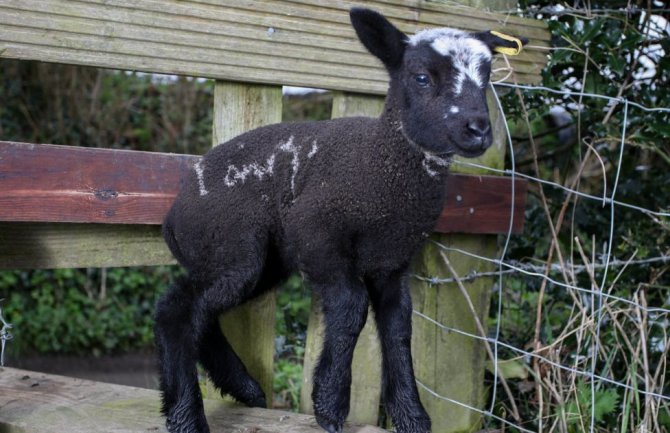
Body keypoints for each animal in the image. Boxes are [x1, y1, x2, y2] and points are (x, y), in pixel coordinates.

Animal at [155, 5, 528, 432]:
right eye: (421, 77)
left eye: (486, 77)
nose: (478, 129)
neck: (380, 167)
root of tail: (173, 217)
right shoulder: (316, 232)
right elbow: (351, 308)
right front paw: (330, 404)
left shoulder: (392, 261)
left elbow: (398, 327)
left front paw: (411, 415)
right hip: (231, 244)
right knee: (175, 311)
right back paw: (187, 415)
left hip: (257, 260)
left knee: (202, 314)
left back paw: (245, 390)